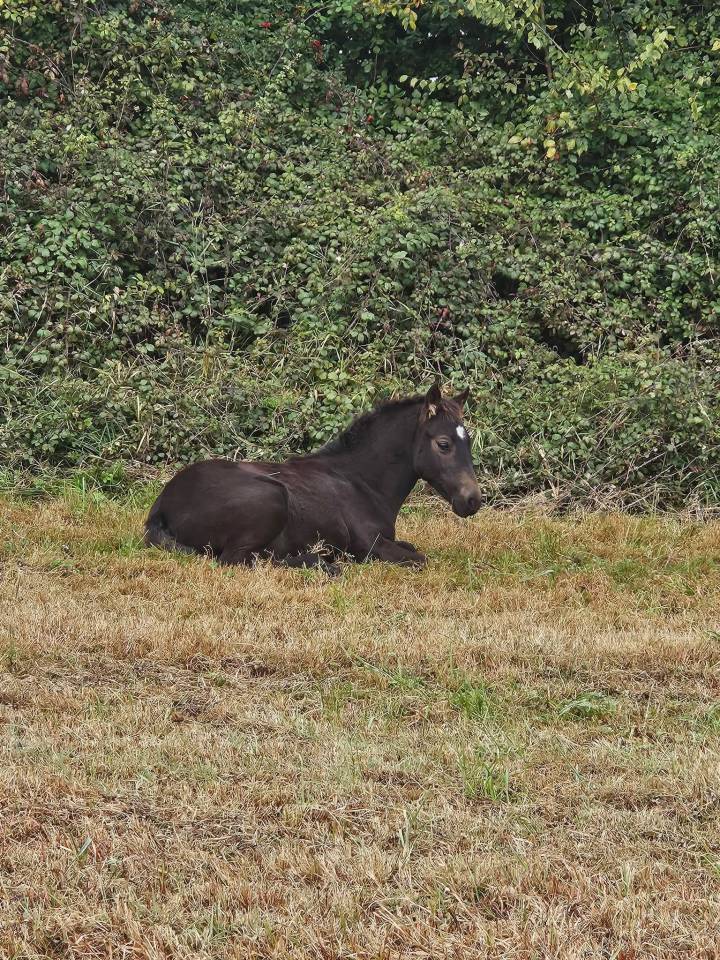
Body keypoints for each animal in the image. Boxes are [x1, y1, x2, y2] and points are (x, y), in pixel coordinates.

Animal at [144, 383, 481, 571]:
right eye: (444, 444)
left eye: (469, 441)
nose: (473, 500)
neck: (361, 483)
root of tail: (161, 505)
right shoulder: (371, 546)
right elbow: (419, 559)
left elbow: (413, 548)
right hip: (272, 497)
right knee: (238, 560)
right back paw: (321, 563)